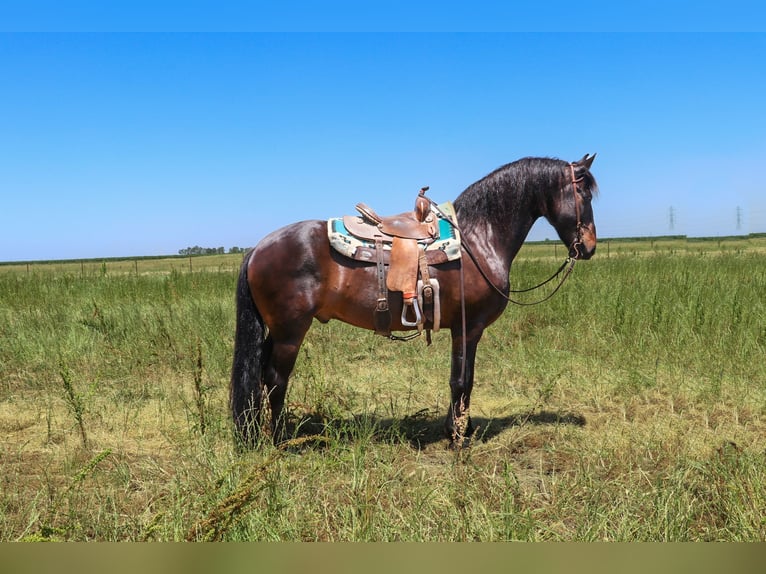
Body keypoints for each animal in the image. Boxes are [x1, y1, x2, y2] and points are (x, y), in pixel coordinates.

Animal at [230, 155, 600, 448]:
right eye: (583, 192)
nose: (589, 246)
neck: (479, 239)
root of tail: (258, 247)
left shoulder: (465, 329)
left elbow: (462, 378)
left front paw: (460, 429)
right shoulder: (468, 327)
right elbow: (462, 379)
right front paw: (458, 437)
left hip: (276, 331)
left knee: (260, 376)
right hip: (290, 332)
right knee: (275, 379)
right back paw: (277, 439)